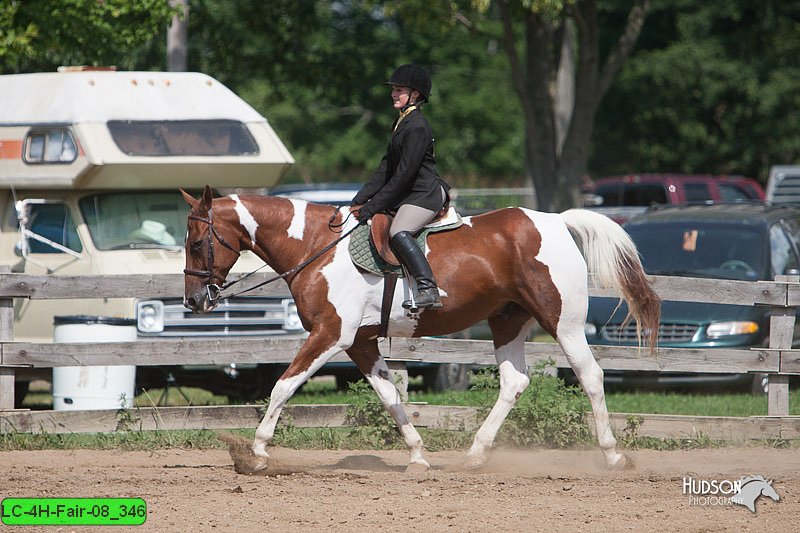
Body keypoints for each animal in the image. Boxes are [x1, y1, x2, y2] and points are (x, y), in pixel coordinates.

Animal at [184, 185, 660, 472]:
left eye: (195, 241)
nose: (194, 301)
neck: (317, 246)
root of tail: (558, 221)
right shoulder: (359, 343)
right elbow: (390, 396)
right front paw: (417, 455)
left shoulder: (331, 334)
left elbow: (283, 386)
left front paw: (256, 452)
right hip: (507, 321)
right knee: (514, 382)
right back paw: (475, 454)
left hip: (563, 322)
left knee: (590, 375)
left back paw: (612, 455)